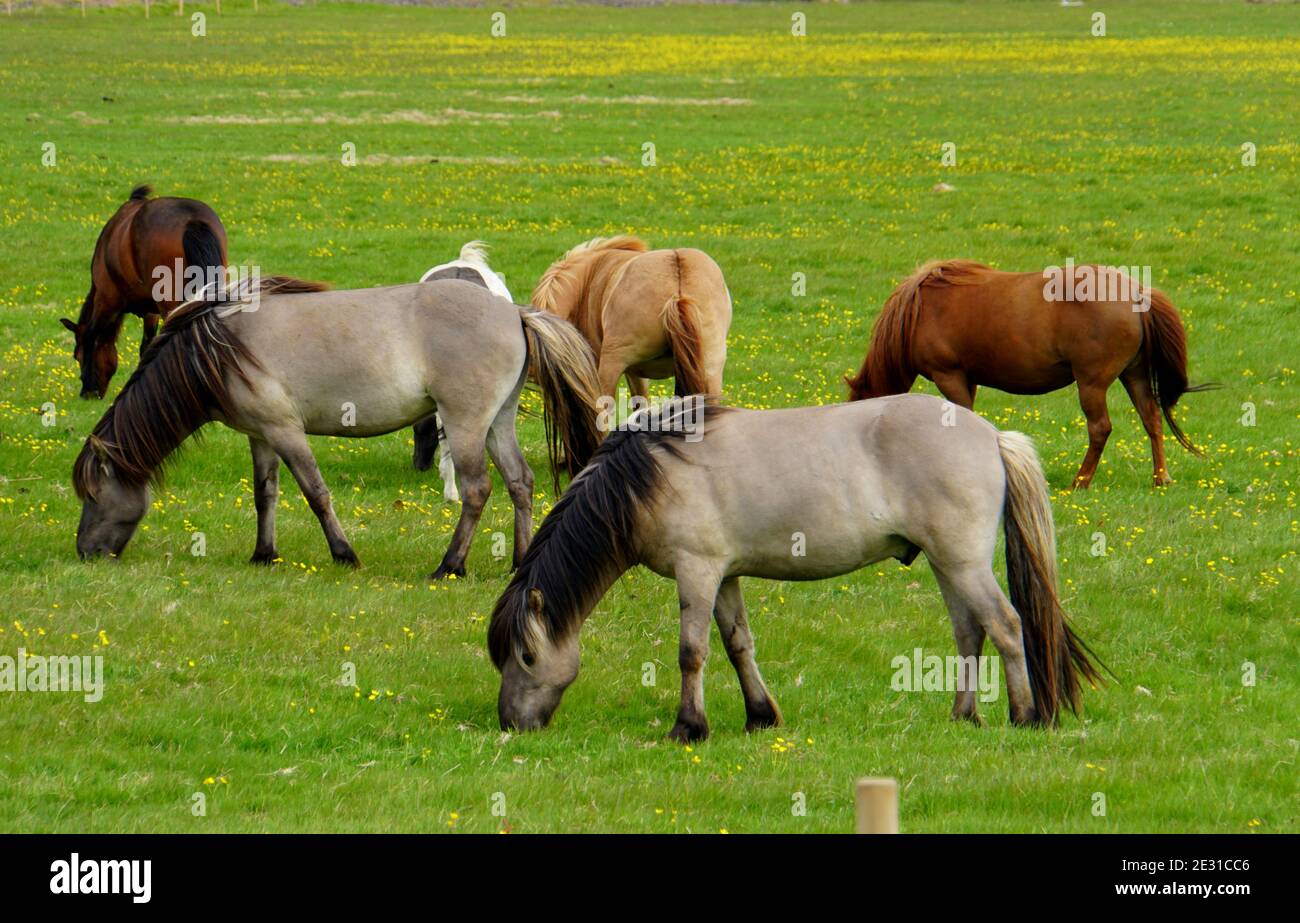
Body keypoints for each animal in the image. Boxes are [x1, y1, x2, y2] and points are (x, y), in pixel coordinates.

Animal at [61, 185, 228, 399]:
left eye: (77, 355)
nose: (85, 394)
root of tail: (192, 221)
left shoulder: (106, 299)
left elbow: (91, 333)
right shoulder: (151, 312)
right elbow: (147, 346)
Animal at [73, 276, 603, 580]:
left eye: (94, 495)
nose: (85, 553)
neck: (220, 348)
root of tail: (514, 313)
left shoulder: (286, 432)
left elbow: (315, 493)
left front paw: (344, 555)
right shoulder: (261, 436)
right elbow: (265, 493)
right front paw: (264, 555)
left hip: (466, 424)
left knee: (477, 490)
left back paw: (450, 566)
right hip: (497, 423)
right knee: (520, 483)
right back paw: (518, 561)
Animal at [488, 394, 1104, 741]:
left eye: (526, 656)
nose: (510, 724)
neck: (649, 473)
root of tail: (993, 435)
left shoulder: (698, 571)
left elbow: (692, 652)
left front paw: (689, 728)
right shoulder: (725, 576)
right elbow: (738, 645)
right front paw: (760, 716)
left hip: (963, 562)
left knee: (1005, 625)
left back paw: (1027, 717)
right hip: (948, 565)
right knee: (968, 632)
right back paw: (963, 716)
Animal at [846, 260, 1213, 489]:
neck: (920, 309)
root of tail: (1135, 293)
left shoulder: (949, 376)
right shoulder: (968, 378)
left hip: (1092, 384)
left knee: (1100, 429)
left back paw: (1081, 481)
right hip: (1133, 375)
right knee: (1152, 419)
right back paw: (1160, 477)